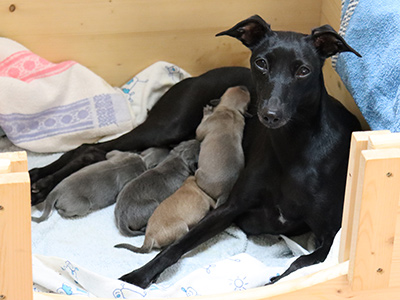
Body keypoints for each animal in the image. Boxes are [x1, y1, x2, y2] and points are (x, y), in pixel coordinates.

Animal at [30, 15, 362, 288]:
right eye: (261, 63)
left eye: (304, 70)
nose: (270, 115)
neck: (294, 148)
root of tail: (192, 78)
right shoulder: (231, 206)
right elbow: (176, 246)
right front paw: (137, 277)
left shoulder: (330, 235)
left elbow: (302, 263)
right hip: (168, 126)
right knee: (90, 148)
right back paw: (38, 182)